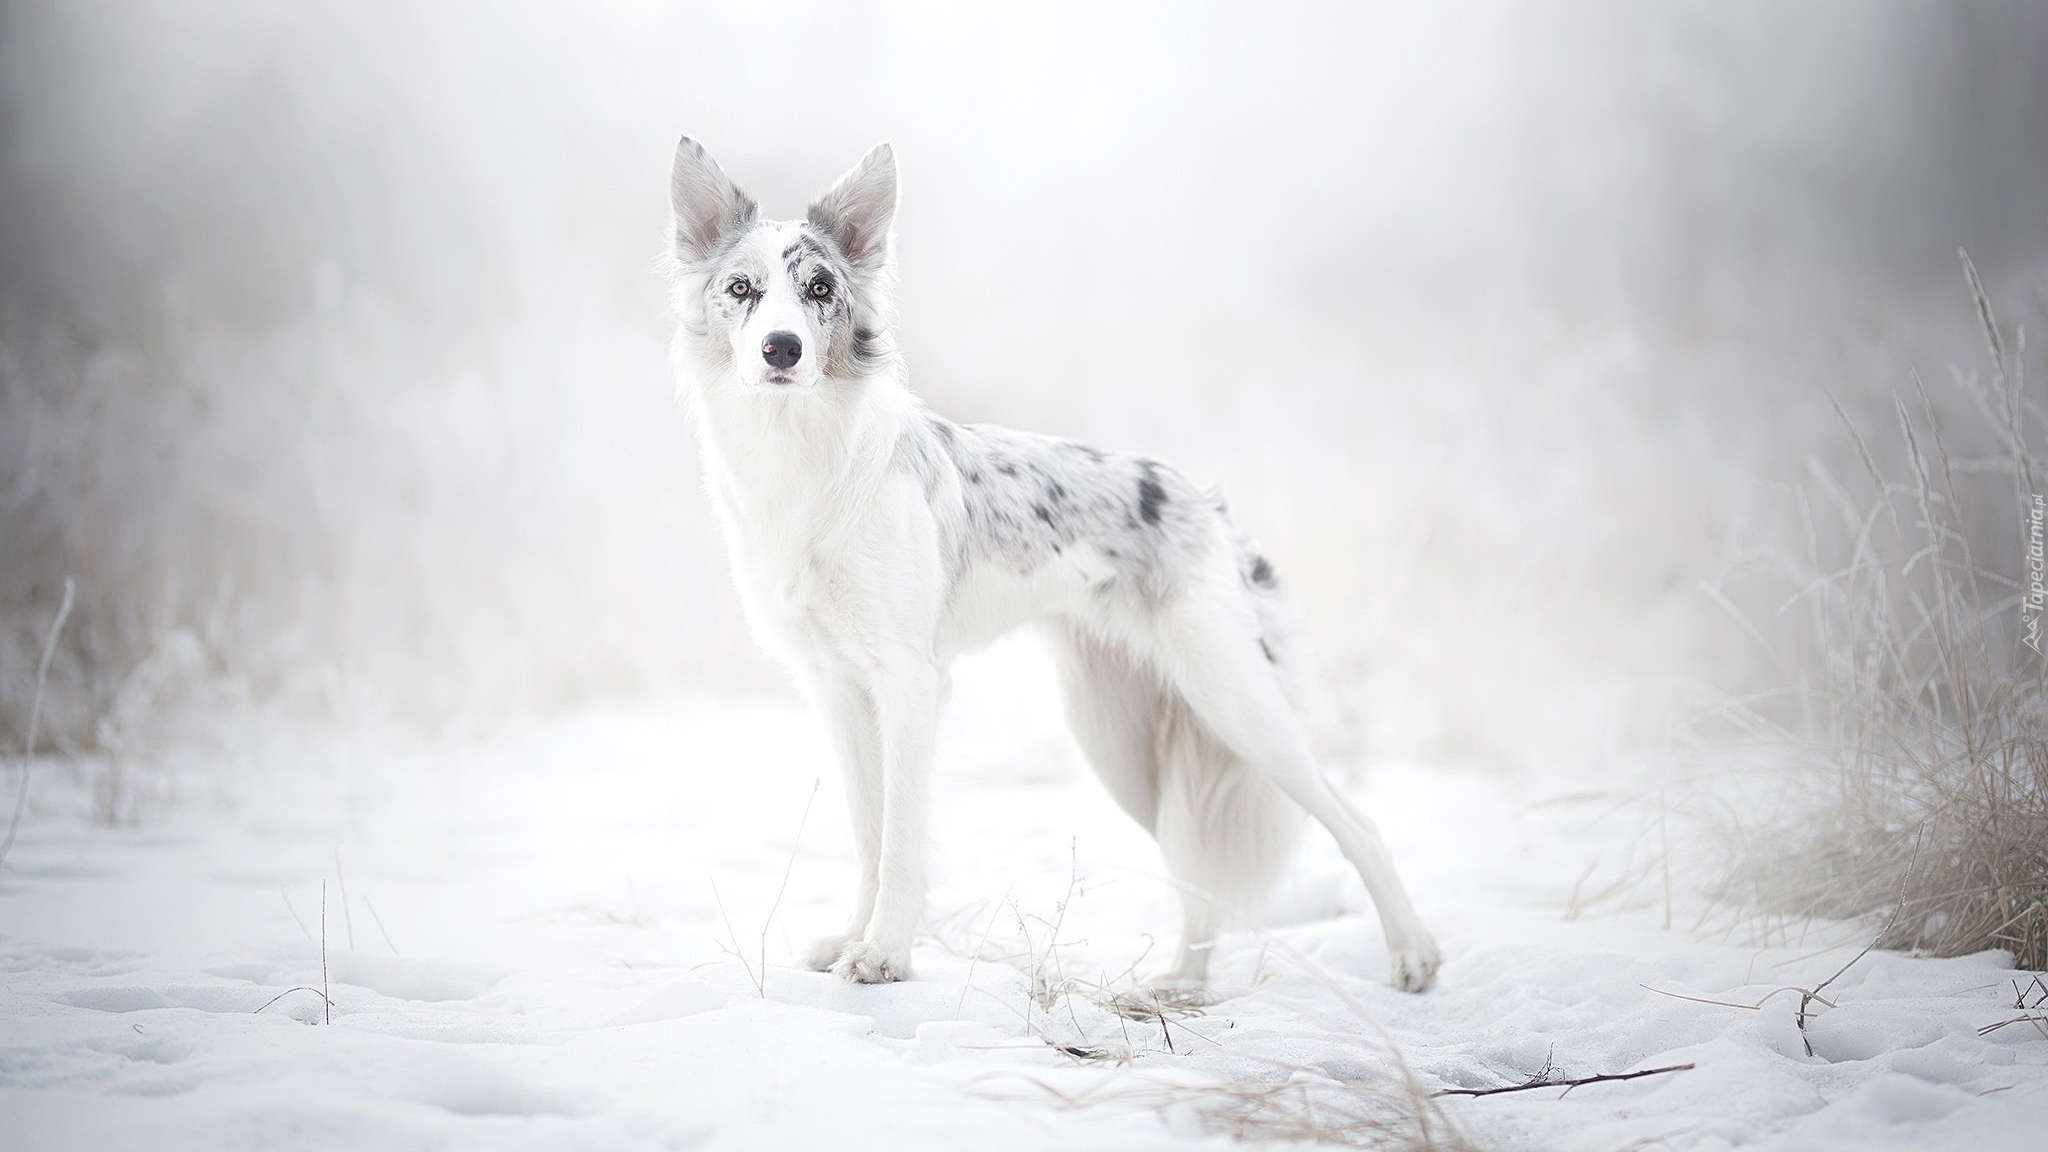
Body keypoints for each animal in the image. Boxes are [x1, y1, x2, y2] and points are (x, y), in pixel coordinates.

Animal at [659, 139, 1441, 992]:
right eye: (742, 289)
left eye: (820, 289)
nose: (783, 348)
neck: (802, 460)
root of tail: (1206, 503)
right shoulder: (836, 686)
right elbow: (869, 830)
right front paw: (851, 941)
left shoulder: (911, 681)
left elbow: (900, 840)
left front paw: (886, 953)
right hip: (1120, 742)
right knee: (1194, 865)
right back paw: (1183, 985)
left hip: (1235, 703)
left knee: (1357, 823)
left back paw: (1412, 954)